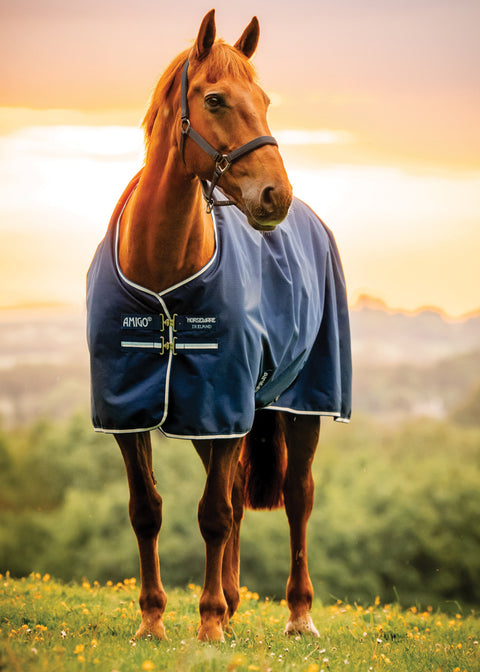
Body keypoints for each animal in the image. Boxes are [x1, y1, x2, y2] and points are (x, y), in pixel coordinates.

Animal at [87, 9, 351, 642]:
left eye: (265, 99)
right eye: (214, 99)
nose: (275, 195)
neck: (163, 276)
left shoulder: (223, 403)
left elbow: (213, 514)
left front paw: (207, 625)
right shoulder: (134, 410)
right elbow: (147, 510)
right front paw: (154, 621)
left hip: (301, 403)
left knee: (297, 496)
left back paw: (297, 614)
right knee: (231, 493)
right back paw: (231, 602)